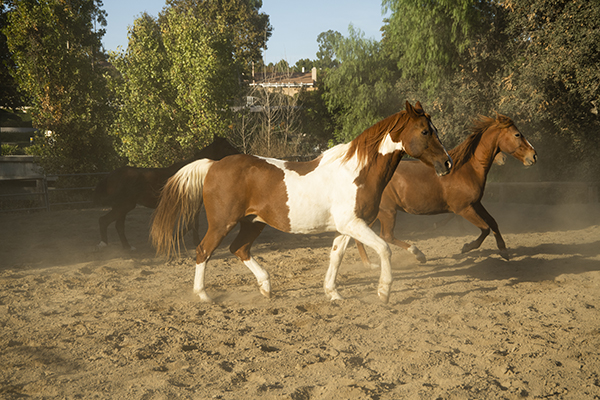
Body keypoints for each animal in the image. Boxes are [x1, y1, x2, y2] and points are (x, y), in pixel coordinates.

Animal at [93, 136, 239, 250]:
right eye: (226, 146)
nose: (239, 154)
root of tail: (110, 175)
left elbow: (193, 225)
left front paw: (194, 242)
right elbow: (191, 225)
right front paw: (173, 239)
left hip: (122, 207)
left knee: (117, 225)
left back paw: (127, 247)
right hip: (124, 206)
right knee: (105, 221)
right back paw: (105, 245)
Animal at [151, 101, 452, 303]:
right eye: (425, 132)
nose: (447, 163)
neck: (356, 171)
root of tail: (213, 165)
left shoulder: (348, 227)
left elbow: (336, 256)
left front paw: (333, 293)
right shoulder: (353, 224)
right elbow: (384, 248)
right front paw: (384, 291)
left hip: (253, 223)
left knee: (239, 249)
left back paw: (266, 287)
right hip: (222, 223)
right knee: (204, 251)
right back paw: (203, 295)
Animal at [355, 114, 537, 267]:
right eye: (517, 135)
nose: (534, 156)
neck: (468, 168)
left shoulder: (476, 203)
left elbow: (493, 222)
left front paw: (504, 251)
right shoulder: (464, 209)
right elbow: (485, 228)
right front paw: (466, 247)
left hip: (376, 213)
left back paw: (368, 264)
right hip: (387, 211)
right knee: (386, 236)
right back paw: (417, 255)